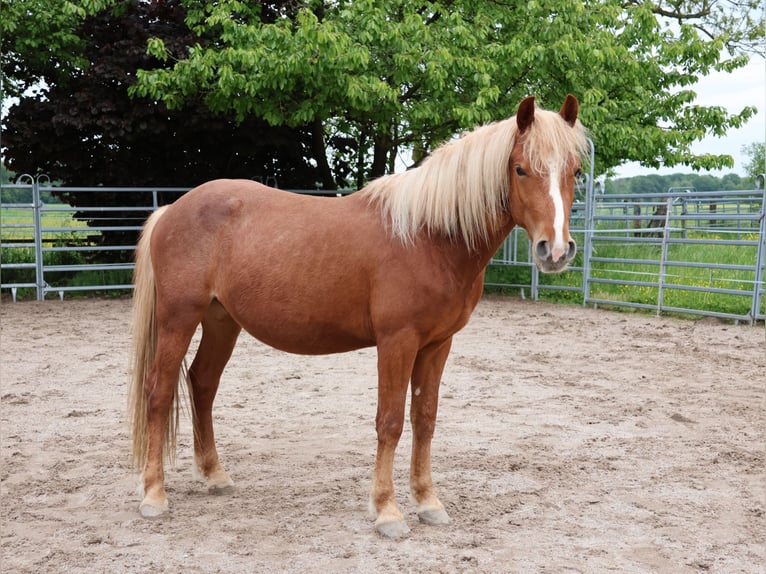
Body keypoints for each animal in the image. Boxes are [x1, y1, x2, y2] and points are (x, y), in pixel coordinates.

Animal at [128, 95, 588, 538]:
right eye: (520, 169)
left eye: (576, 171)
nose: (556, 250)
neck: (428, 235)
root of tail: (172, 209)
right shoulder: (397, 341)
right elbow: (390, 422)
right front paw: (387, 512)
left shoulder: (437, 344)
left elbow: (424, 419)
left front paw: (428, 503)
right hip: (178, 319)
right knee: (159, 391)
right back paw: (153, 495)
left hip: (222, 321)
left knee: (202, 384)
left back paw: (214, 475)